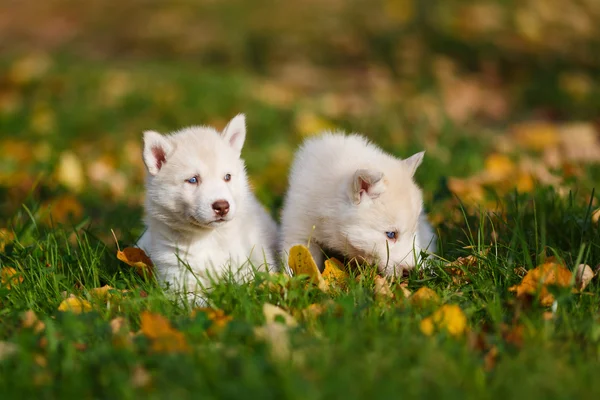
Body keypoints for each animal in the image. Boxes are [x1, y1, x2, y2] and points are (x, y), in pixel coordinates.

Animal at [137, 114, 278, 302]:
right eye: (193, 180)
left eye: (227, 177)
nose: (222, 206)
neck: (208, 237)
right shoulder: (178, 278)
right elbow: (197, 302)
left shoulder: (247, 265)